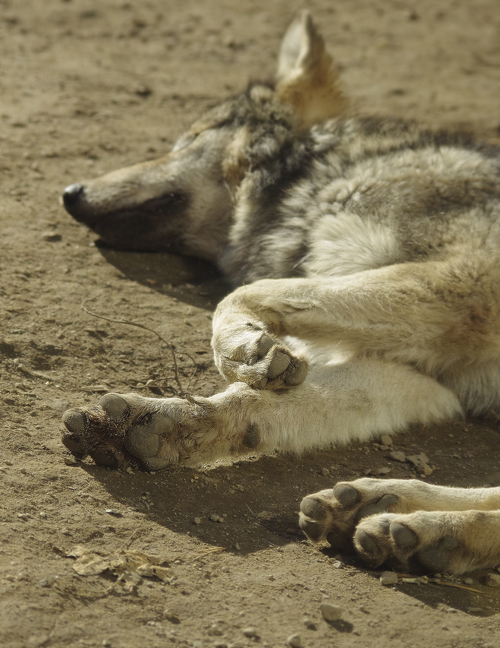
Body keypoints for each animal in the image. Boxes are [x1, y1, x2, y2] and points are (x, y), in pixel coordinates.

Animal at [60, 12, 500, 576]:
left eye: (189, 140)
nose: (70, 192)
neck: (325, 176)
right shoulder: (428, 378)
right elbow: (268, 400)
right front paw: (164, 422)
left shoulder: (467, 282)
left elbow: (242, 296)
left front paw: (243, 348)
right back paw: (378, 507)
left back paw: (426, 529)